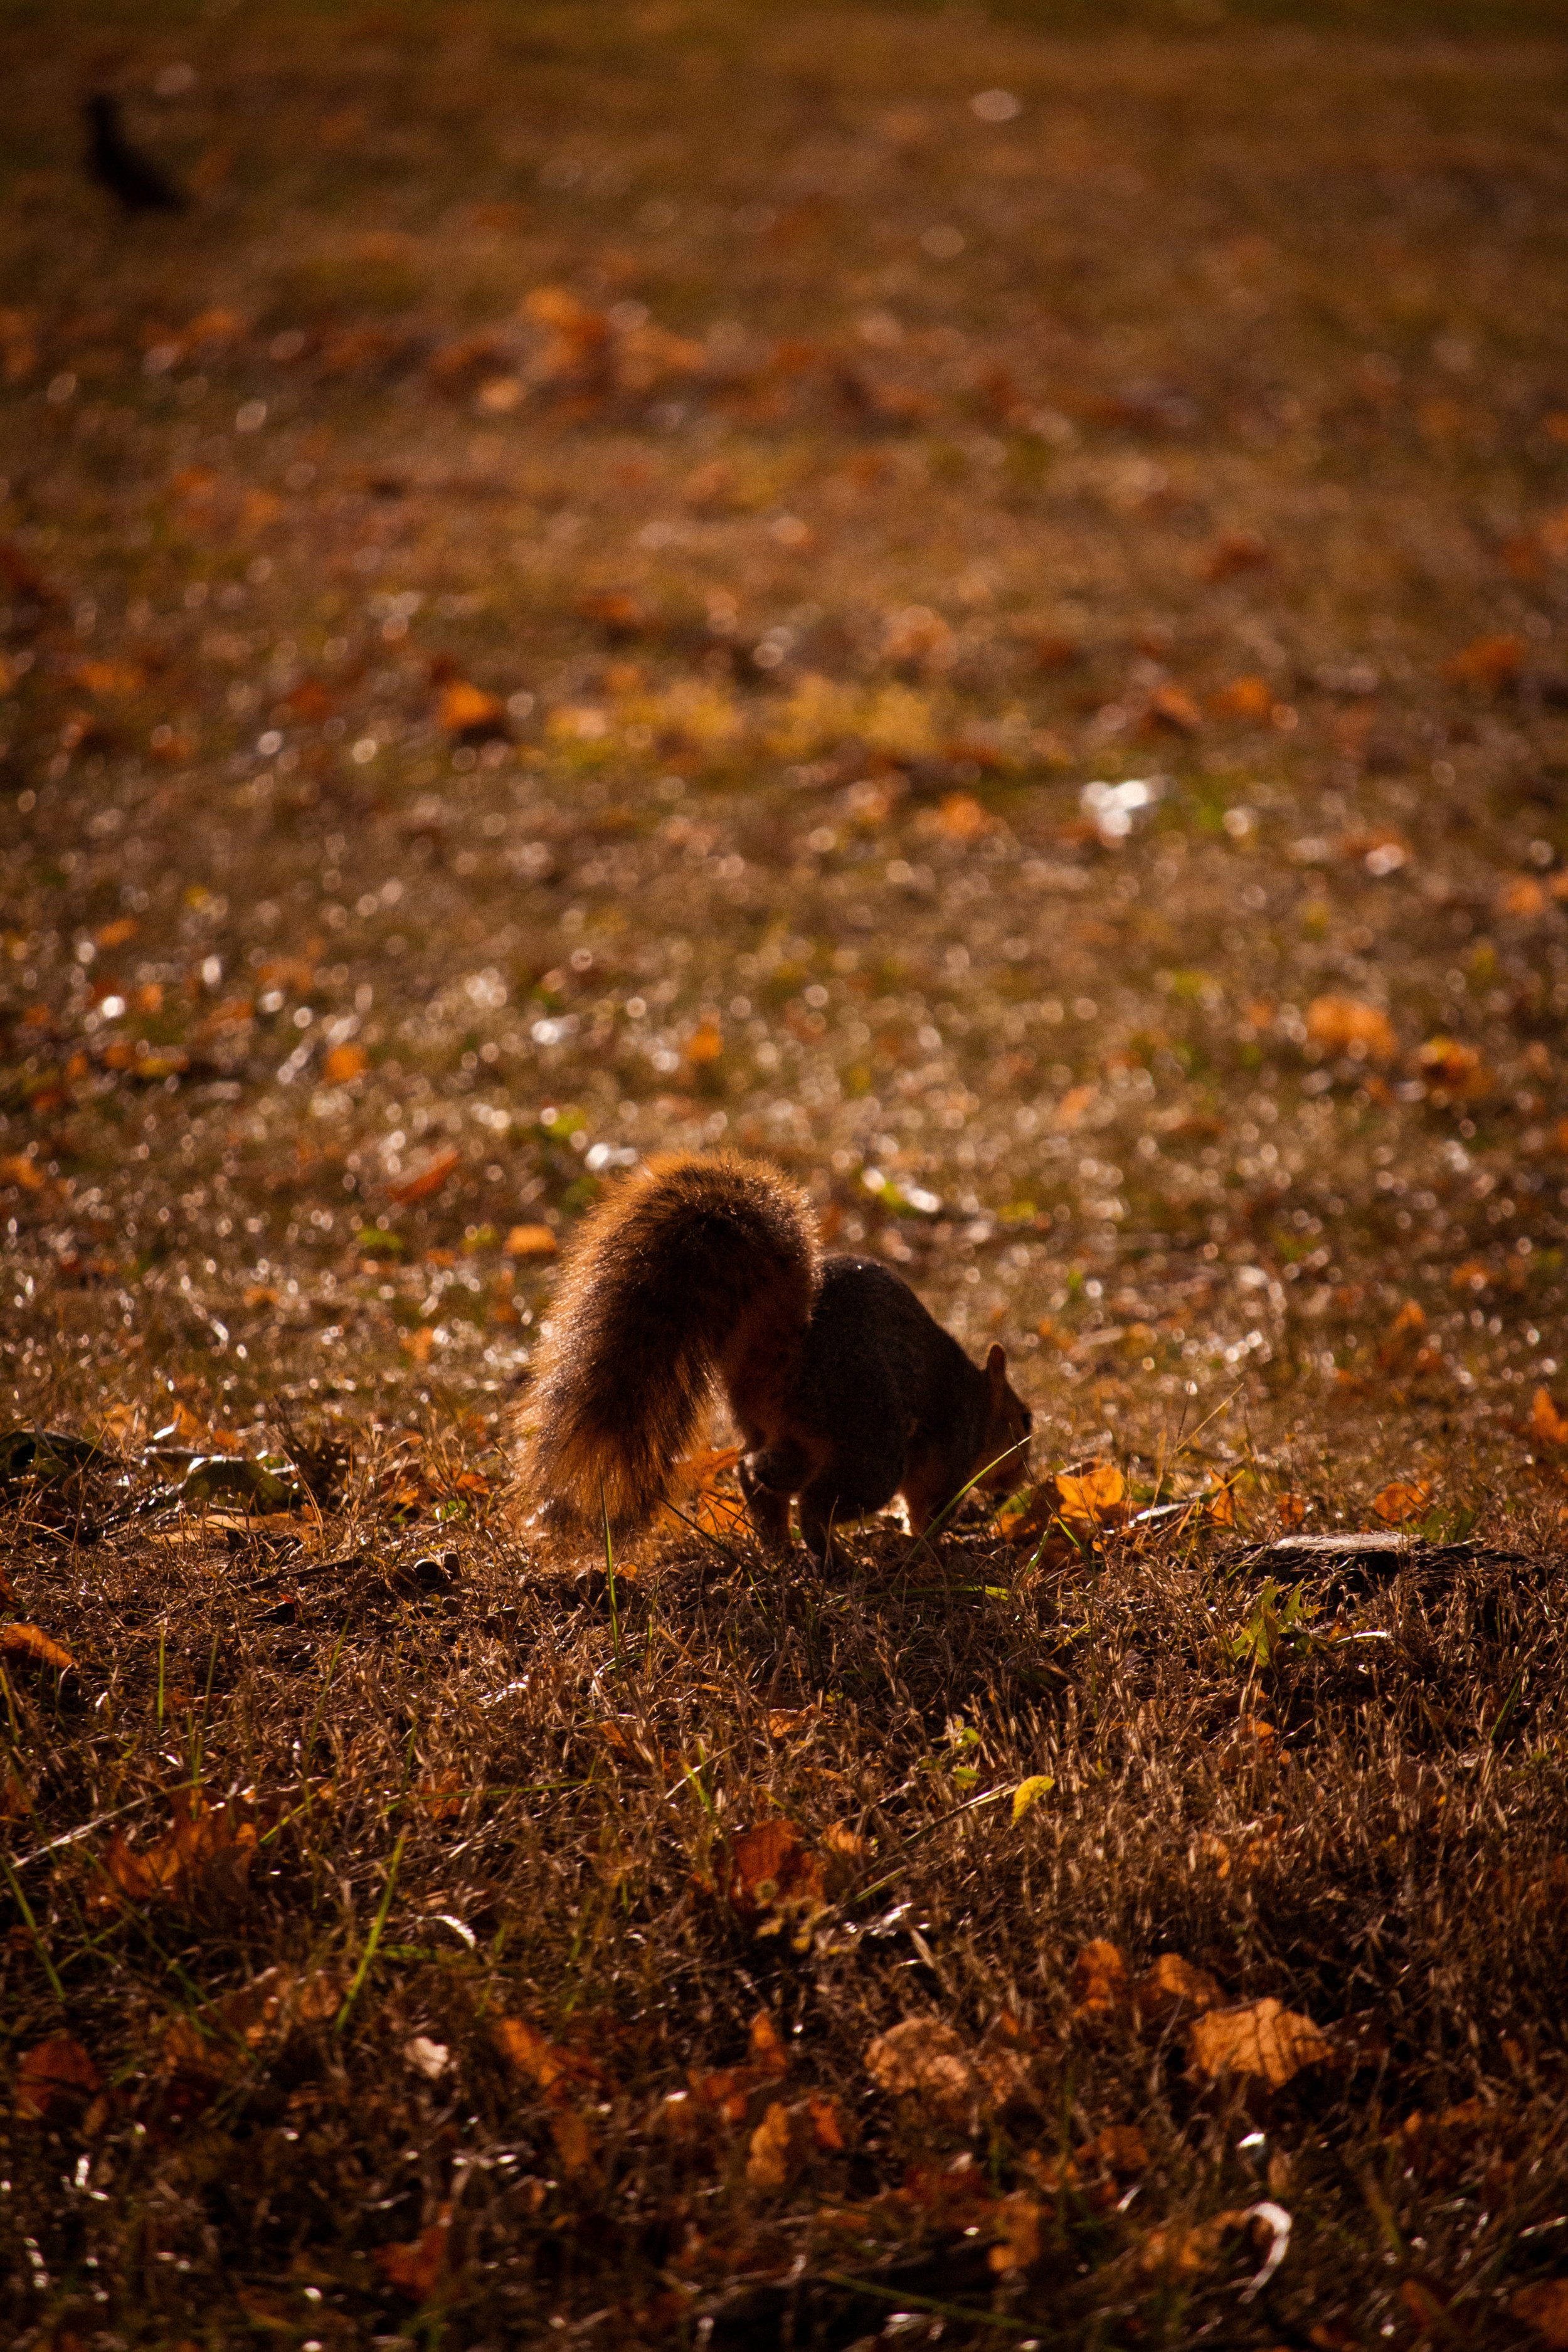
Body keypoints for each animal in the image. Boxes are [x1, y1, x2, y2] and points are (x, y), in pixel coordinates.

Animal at [514, 1152, 1033, 1561]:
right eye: (1025, 1422)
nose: (1020, 1481)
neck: (977, 1398)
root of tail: (780, 1349)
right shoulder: (953, 1449)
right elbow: (930, 1510)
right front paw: (930, 1548)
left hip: (790, 1433)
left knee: (758, 1474)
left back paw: (778, 1544)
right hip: (868, 1442)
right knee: (817, 1504)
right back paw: (831, 1557)